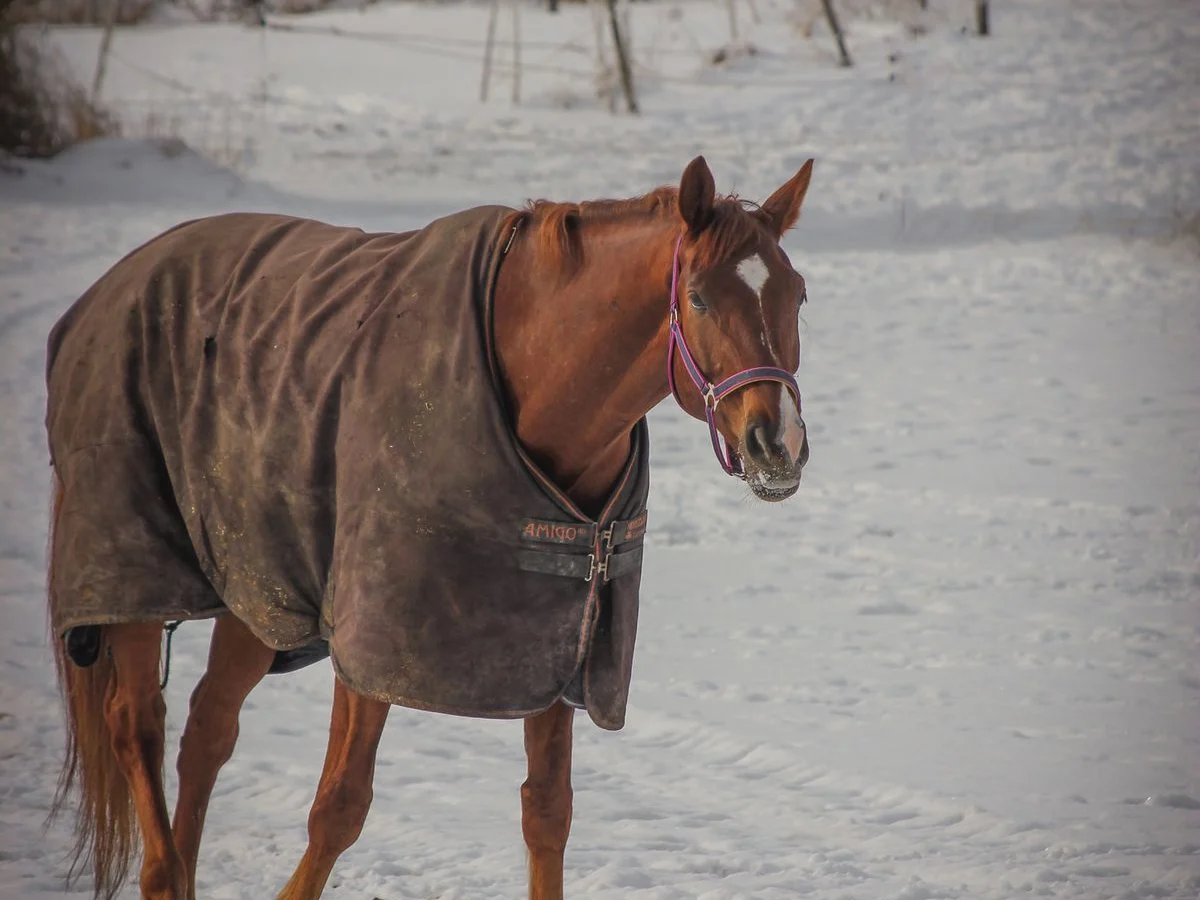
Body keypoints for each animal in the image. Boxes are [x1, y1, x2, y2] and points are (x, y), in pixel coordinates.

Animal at [44, 154, 814, 900]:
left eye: (798, 295)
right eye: (701, 298)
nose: (778, 444)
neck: (529, 379)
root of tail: (121, 277)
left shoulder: (558, 640)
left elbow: (548, 813)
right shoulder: (372, 643)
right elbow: (339, 808)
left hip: (257, 588)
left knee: (207, 728)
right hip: (133, 578)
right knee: (137, 723)